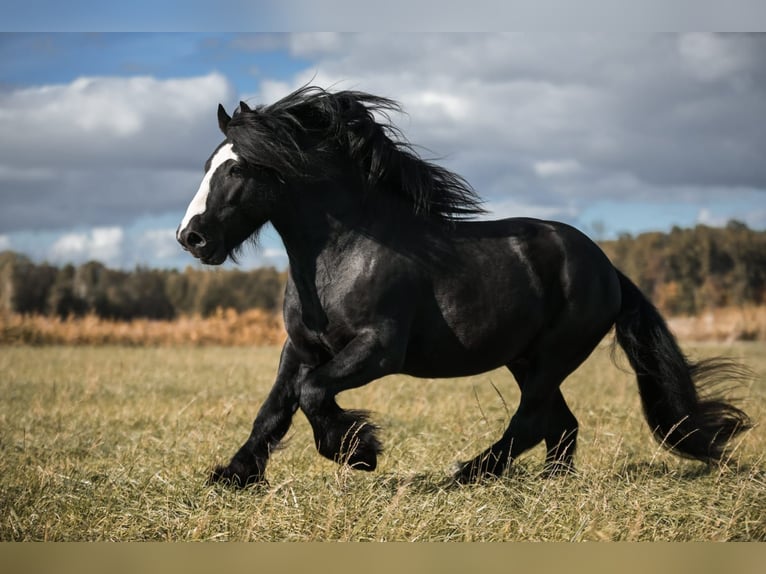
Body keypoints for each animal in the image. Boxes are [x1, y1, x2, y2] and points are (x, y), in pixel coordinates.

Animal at [177, 86, 752, 490]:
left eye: (238, 168)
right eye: (206, 165)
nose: (190, 237)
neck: (342, 254)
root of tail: (608, 268)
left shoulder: (377, 349)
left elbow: (314, 392)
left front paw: (359, 452)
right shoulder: (299, 348)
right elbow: (275, 408)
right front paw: (234, 475)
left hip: (554, 354)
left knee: (532, 420)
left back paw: (469, 473)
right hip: (525, 358)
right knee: (560, 424)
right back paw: (551, 483)